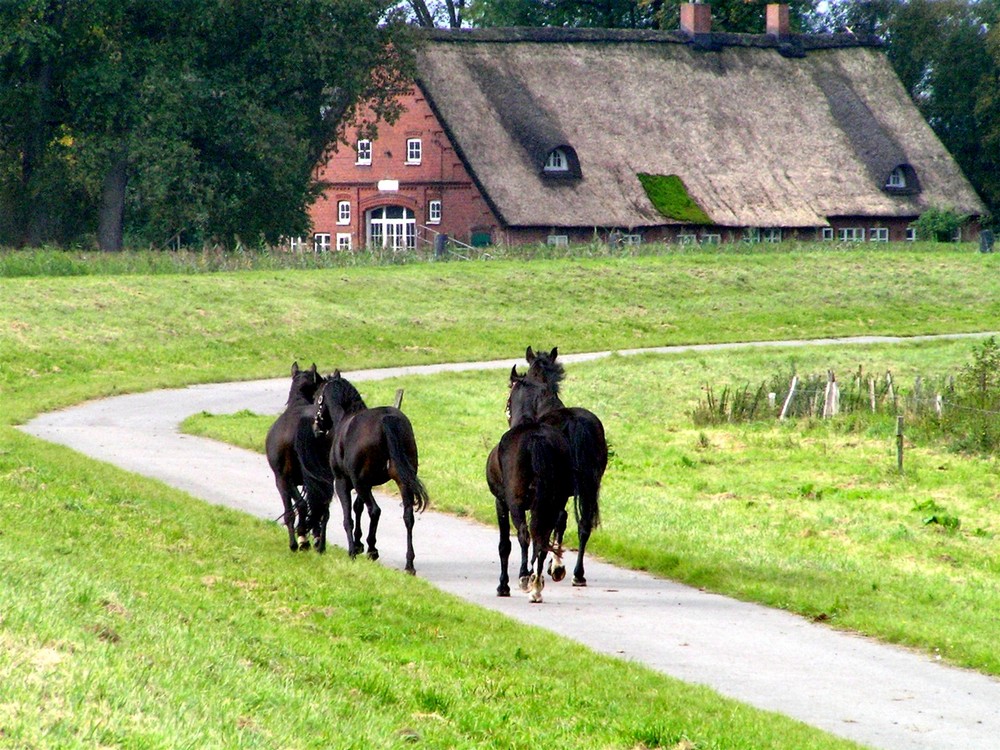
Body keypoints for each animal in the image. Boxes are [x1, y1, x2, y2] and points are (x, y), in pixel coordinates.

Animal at [264, 364, 330, 552]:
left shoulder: (283, 479)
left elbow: (293, 509)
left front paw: (300, 539)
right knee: (323, 508)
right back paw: (320, 545)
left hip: (284, 479)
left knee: (298, 507)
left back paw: (299, 541)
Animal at [312, 372, 430, 576]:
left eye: (317, 397)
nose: (316, 428)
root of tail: (386, 419)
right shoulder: (365, 483)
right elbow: (358, 508)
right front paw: (360, 543)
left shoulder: (344, 481)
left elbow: (348, 516)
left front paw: (353, 550)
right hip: (402, 481)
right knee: (408, 516)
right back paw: (409, 564)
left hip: (360, 483)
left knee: (375, 510)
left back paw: (372, 550)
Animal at [488, 424, 576, 604]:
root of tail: (537, 437)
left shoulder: (500, 503)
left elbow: (505, 545)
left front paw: (503, 586)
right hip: (553, 505)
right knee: (541, 542)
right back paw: (536, 589)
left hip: (516, 505)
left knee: (524, 535)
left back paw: (525, 578)